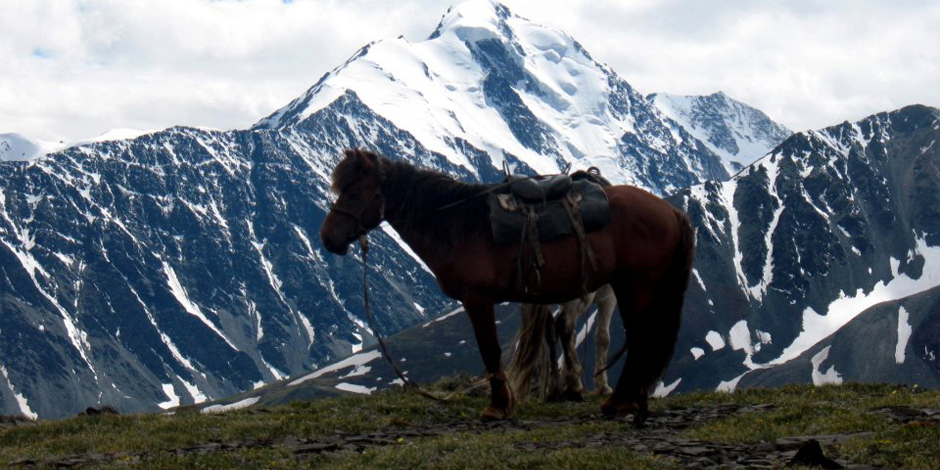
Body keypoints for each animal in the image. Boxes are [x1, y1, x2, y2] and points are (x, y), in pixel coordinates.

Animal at [320, 149, 692, 424]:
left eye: (355, 192)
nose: (328, 238)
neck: (460, 225)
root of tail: (671, 210)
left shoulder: (477, 299)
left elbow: (490, 350)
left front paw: (497, 407)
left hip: (633, 285)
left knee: (640, 338)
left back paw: (617, 402)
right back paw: (622, 400)